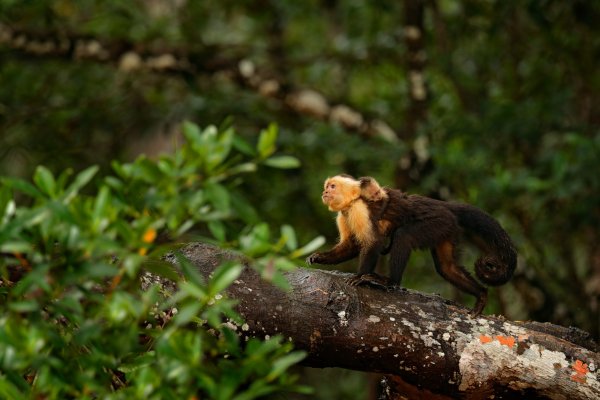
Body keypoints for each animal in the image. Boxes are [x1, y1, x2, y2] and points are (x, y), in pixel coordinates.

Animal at [308, 175, 516, 316]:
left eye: (332, 186)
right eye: (327, 187)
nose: (325, 192)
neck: (352, 203)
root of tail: (444, 205)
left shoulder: (360, 209)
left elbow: (373, 242)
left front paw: (359, 276)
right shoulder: (343, 215)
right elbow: (351, 246)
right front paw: (321, 257)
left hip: (437, 222)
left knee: (404, 236)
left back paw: (390, 282)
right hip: (446, 228)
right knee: (446, 267)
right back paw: (481, 295)